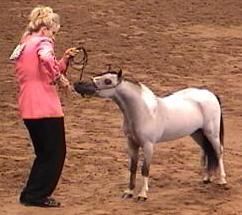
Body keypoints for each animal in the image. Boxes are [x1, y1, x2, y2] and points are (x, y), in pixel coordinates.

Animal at [73, 69, 227, 201]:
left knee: (218, 152)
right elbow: (133, 167)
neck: (143, 112)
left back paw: (222, 180)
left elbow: (145, 169)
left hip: (212, 133)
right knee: (206, 151)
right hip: (198, 134)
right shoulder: (131, 143)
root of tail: (210, 94)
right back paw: (206, 178)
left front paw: (142, 195)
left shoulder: (148, 146)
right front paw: (129, 192)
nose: (78, 84)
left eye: (107, 81)